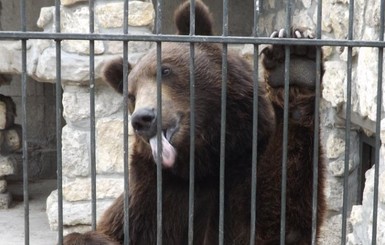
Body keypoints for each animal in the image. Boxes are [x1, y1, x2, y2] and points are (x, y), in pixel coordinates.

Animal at [63, 0, 324, 244]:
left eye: (165, 70)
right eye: (131, 95)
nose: (143, 118)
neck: (199, 164)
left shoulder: (241, 169)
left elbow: (279, 218)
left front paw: (295, 62)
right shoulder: (151, 194)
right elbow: (104, 231)